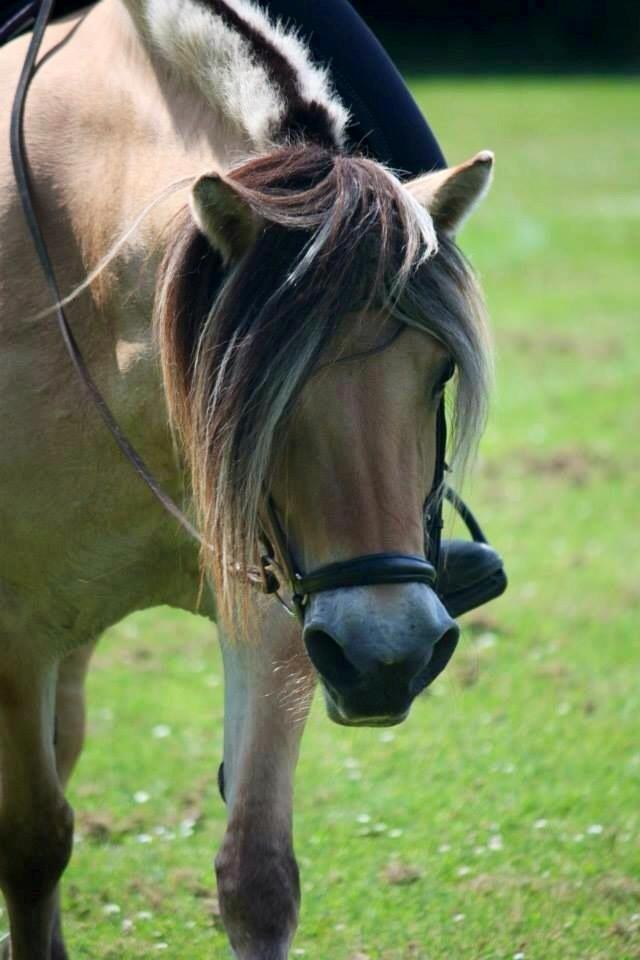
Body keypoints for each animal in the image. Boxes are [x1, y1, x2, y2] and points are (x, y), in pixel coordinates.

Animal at [0, 1, 496, 960]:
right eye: (262, 387)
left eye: (438, 373)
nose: (389, 659)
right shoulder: (13, 631)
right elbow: (33, 846)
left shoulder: (282, 607)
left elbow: (258, 876)